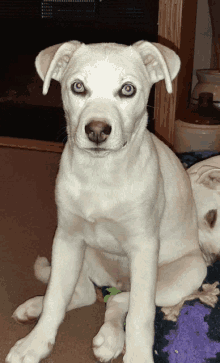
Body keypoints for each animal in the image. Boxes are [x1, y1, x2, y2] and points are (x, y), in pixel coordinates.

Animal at [5, 40, 208, 363]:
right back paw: (35, 308)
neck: (100, 176)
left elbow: (140, 314)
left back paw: (110, 340)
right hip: (82, 253)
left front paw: (137, 355)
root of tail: (116, 281)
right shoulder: (68, 238)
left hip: (187, 273)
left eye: (127, 89)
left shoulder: (144, 248)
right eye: (78, 86)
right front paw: (35, 344)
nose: (97, 130)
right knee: (84, 294)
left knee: (121, 301)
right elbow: (56, 298)